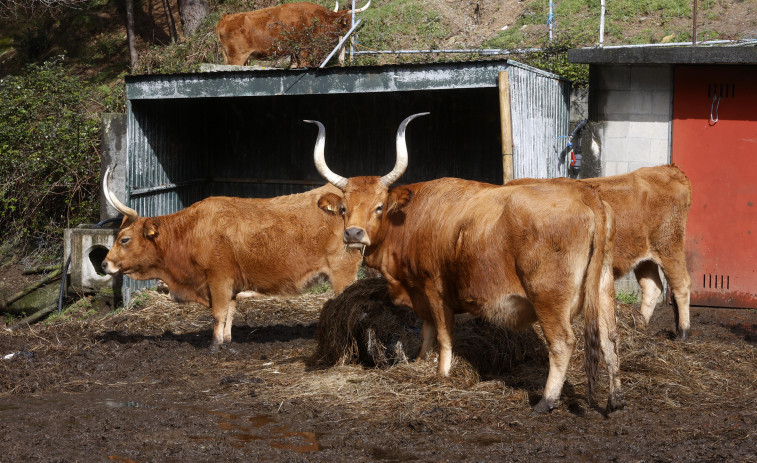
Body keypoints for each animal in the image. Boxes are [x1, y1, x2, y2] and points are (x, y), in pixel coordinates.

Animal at [102, 170, 362, 352]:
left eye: (124, 239)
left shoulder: (218, 279)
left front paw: (215, 345)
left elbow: (219, 312)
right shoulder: (231, 285)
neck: (191, 231)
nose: (104, 264)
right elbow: (230, 312)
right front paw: (226, 339)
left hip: (343, 273)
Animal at [216, 0, 370, 68]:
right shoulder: (305, 49)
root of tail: (225, 18)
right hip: (237, 57)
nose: (355, 33)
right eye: (348, 22)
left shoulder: (294, 52)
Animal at [304, 115, 624, 414]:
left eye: (379, 207)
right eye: (344, 209)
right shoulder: (421, 294)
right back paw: (615, 399)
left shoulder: (434, 288)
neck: (410, 218)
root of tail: (584, 193)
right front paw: (422, 361)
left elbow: (443, 334)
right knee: (609, 337)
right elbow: (427, 330)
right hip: (603, 287)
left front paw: (442, 372)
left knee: (562, 342)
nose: (353, 234)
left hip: (548, 296)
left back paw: (547, 400)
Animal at [508, 166, 692, 338]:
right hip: (645, 256)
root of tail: (667, 169)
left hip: (669, 247)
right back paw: (641, 325)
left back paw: (683, 331)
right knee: (651, 287)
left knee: (682, 285)